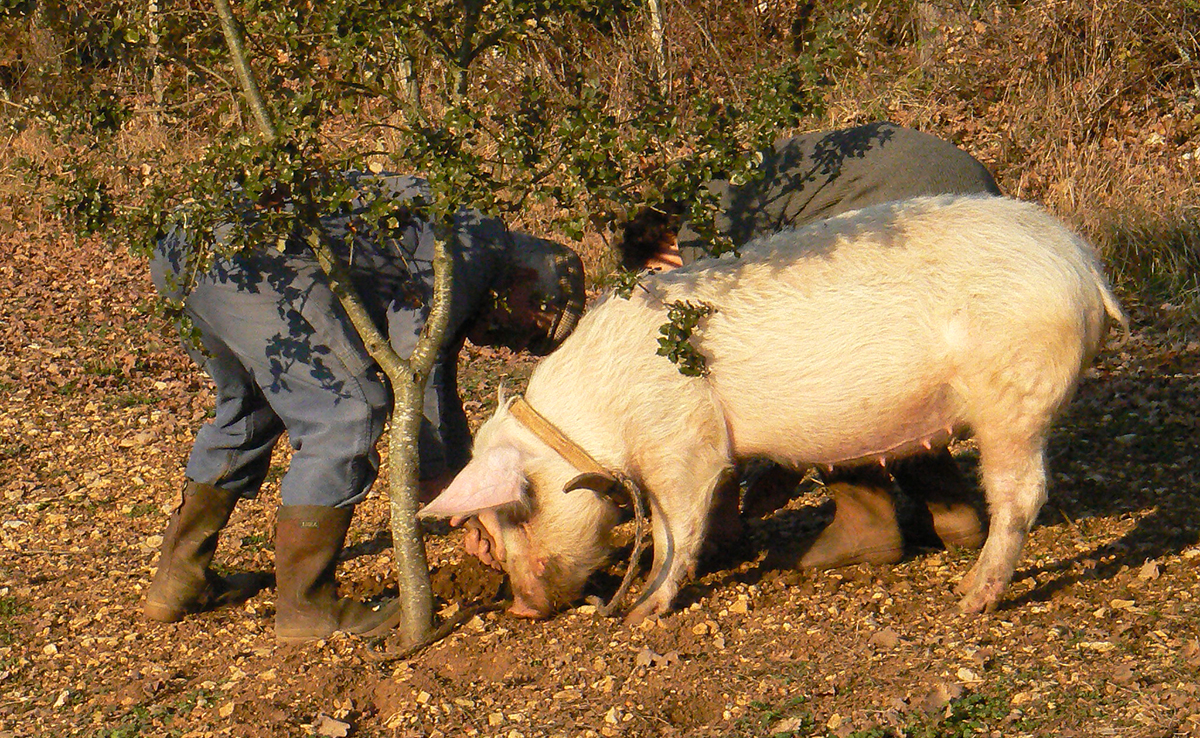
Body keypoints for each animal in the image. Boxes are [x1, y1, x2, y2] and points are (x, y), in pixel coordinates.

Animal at [420, 194, 1123, 624]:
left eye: (520, 508)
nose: (521, 607)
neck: (598, 416)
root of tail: (1083, 261)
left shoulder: (681, 440)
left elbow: (677, 526)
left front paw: (643, 611)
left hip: (1014, 394)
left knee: (1022, 492)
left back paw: (967, 599)